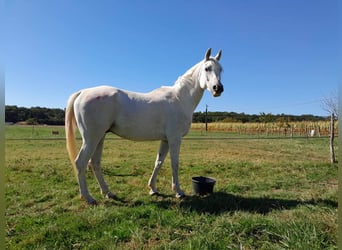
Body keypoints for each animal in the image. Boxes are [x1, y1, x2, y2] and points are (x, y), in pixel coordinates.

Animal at [66, 47, 224, 204]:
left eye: (221, 69)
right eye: (207, 68)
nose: (218, 88)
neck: (180, 98)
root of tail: (82, 92)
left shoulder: (165, 139)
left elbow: (158, 162)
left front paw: (152, 189)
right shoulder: (175, 138)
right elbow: (174, 163)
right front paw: (178, 191)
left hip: (100, 137)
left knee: (95, 163)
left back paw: (108, 193)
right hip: (92, 138)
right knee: (80, 163)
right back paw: (88, 197)